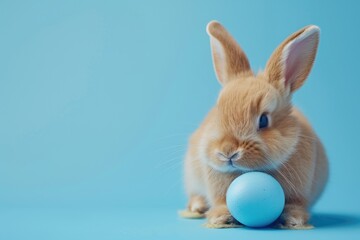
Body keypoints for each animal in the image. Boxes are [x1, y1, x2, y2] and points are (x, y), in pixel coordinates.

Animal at [184, 21, 328, 229]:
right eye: (217, 112)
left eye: (263, 120)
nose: (227, 151)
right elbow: (220, 202)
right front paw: (220, 218)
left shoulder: (299, 193)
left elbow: (296, 205)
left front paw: (294, 220)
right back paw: (197, 207)